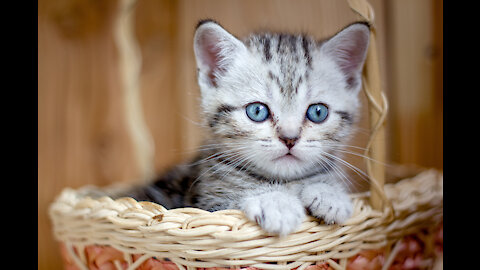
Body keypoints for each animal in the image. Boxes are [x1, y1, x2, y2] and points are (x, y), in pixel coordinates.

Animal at [126, 19, 368, 236]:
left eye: (318, 112)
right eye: (257, 111)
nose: (289, 138)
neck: (285, 181)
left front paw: (331, 194)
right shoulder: (206, 206)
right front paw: (275, 202)